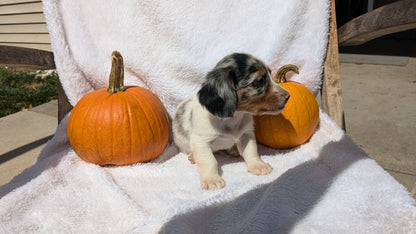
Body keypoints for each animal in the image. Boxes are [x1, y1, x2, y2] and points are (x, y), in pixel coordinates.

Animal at [172, 52, 290, 189]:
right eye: (259, 81)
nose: (288, 96)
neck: (233, 118)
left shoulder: (246, 134)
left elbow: (251, 151)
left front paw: (258, 166)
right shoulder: (201, 142)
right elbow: (209, 161)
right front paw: (212, 179)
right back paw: (193, 157)